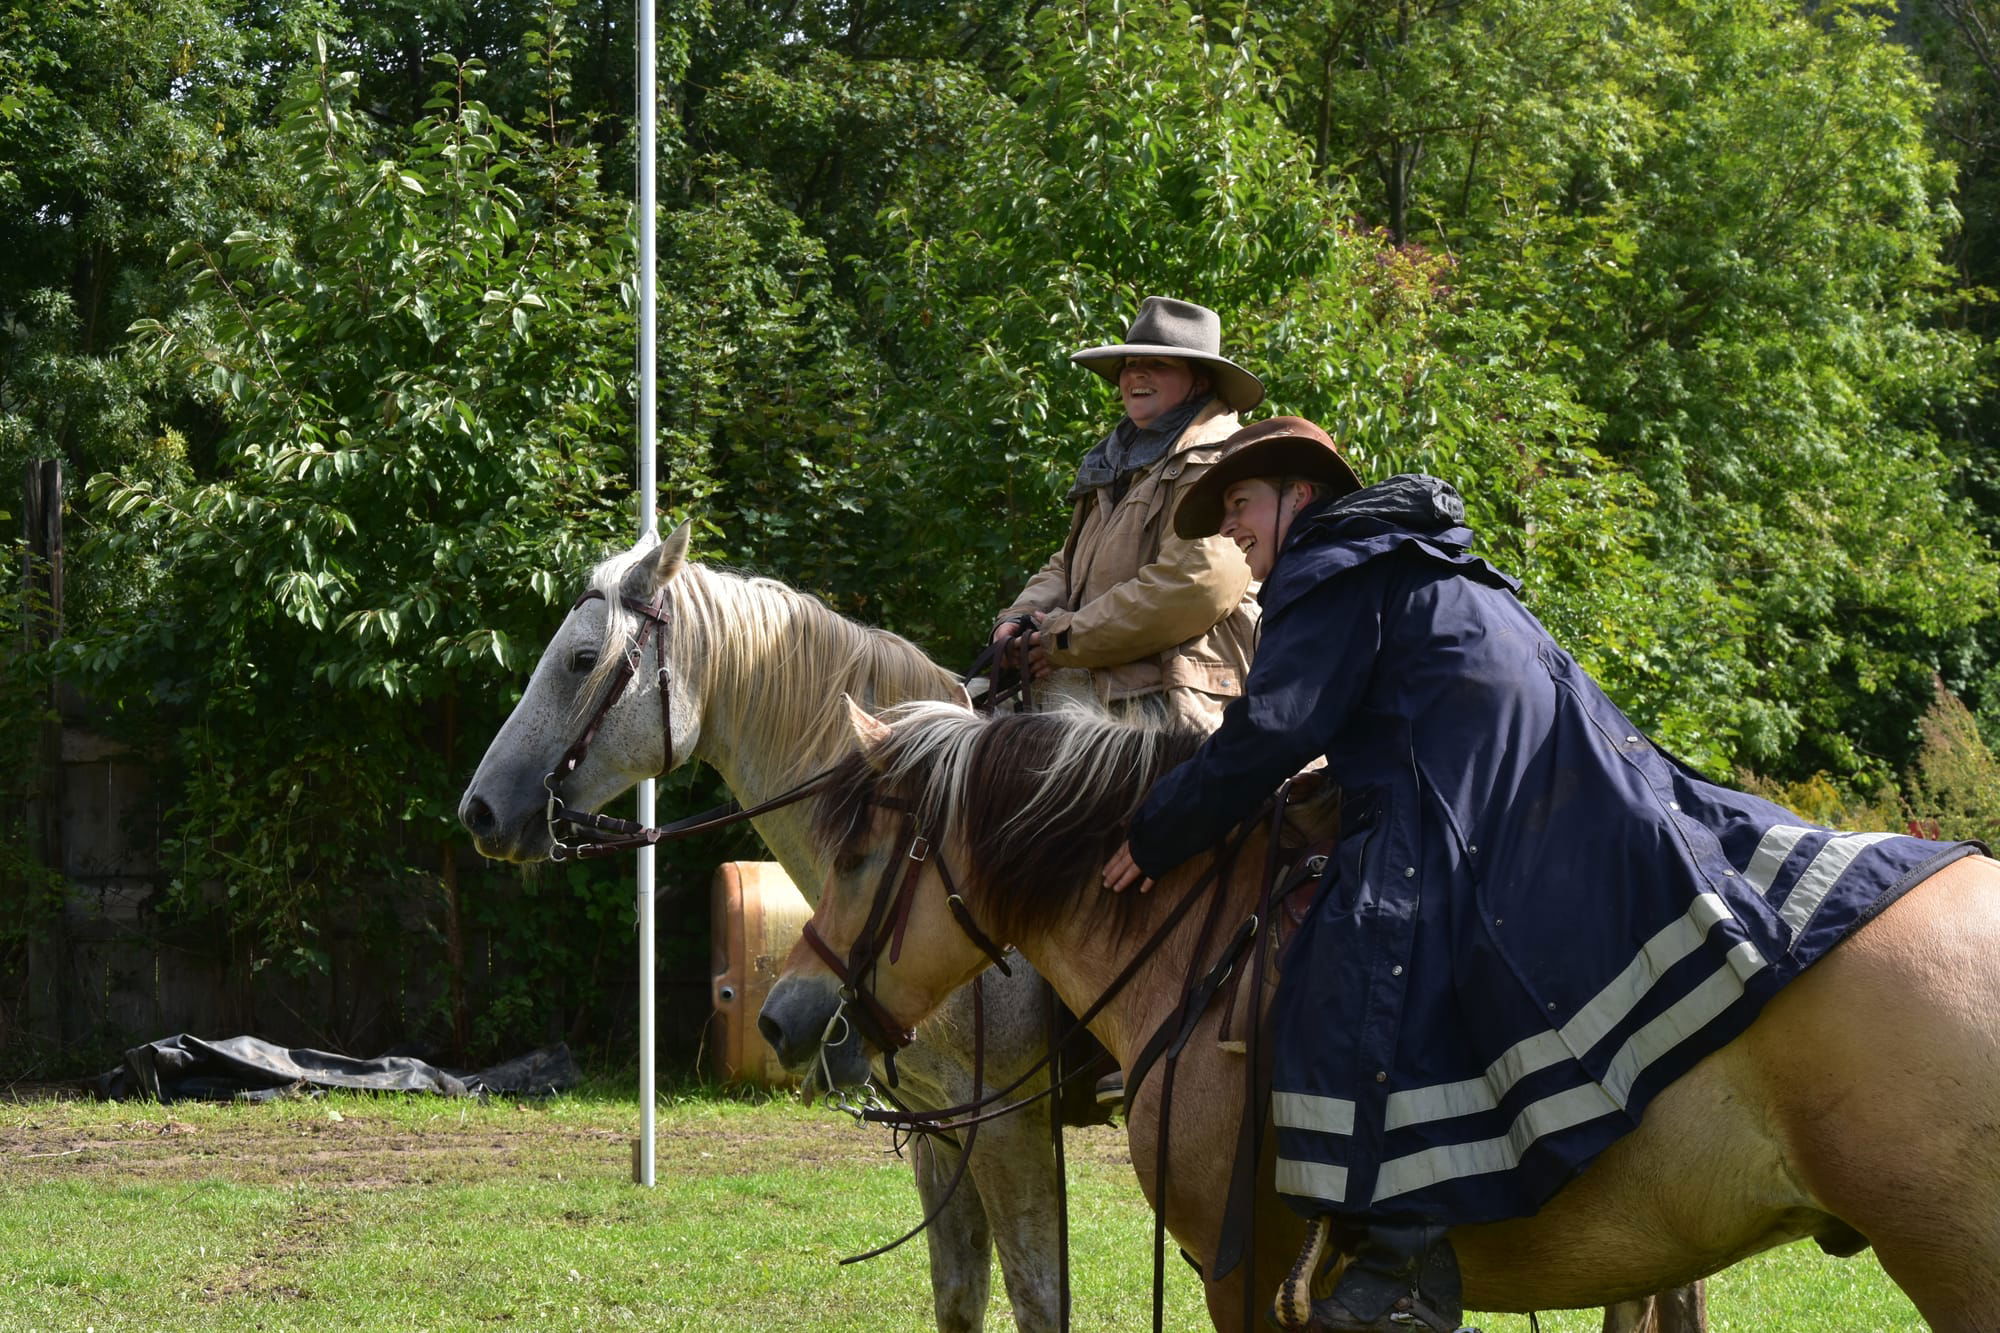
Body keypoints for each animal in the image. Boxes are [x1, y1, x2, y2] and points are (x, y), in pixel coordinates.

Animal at [458, 520, 1072, 1328]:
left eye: (582, 660)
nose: (480, 811)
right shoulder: (941, 1129)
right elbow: (959, 1295)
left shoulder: (1008, 1124)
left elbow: (1039, 1299)